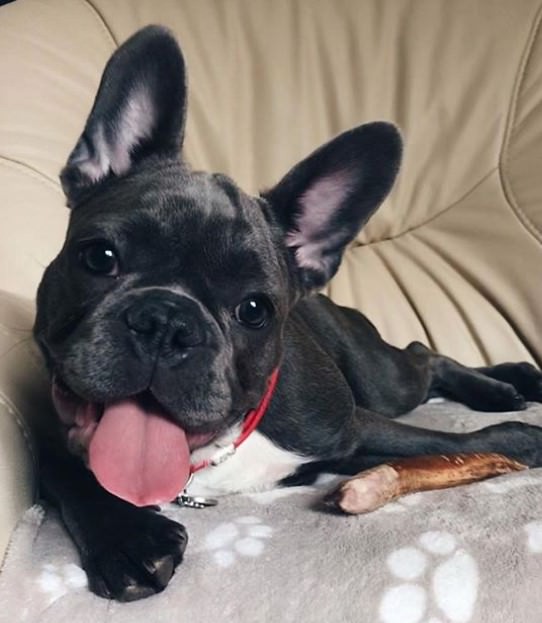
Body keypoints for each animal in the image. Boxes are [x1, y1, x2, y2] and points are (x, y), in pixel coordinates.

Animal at [33, 26, 542, 604]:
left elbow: (449, 443)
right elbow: (66, 471)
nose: (167, 322)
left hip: (379, 381)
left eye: (254, 310)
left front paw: (520, 438)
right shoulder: (55, 437)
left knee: (422, 357)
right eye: (99, 257)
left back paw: (506, 385)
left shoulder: (347, 426)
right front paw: (126, 535)